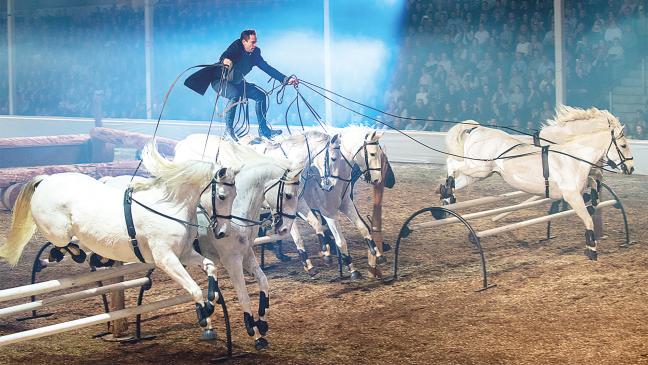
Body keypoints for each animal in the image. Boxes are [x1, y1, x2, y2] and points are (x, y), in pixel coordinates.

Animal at [0, 141, 238, 328]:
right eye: (223, 196)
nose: (222, 232)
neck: (170, 206)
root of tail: (45, 180)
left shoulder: (184, 254)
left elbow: (210, 266)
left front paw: (211, 298)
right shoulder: (167, 260)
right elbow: (194, 289)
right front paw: (204, 315)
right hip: (59, 231)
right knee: (63, 243)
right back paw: (72, 255)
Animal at [173, 134, 302, 350]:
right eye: (288, 195)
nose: (284, 229)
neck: (235, 217)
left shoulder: (247, 255)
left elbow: (263, 282)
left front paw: (262, 322)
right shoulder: (232, 261)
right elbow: (243, 296)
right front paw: (255, 333)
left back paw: (207, 324)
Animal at [440, 106, 632, 260]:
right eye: (623, 146)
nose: (631, 168)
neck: (571, 155)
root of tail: (477, 129)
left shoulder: (580, 185)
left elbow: (593, 185)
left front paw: (592, 201)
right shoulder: (571, 195)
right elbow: (588, 219)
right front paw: (591, 250)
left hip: (478, 173)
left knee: (457, 180)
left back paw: (447, 197)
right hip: (478, 168)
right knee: (452, 163)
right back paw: (446, 193)